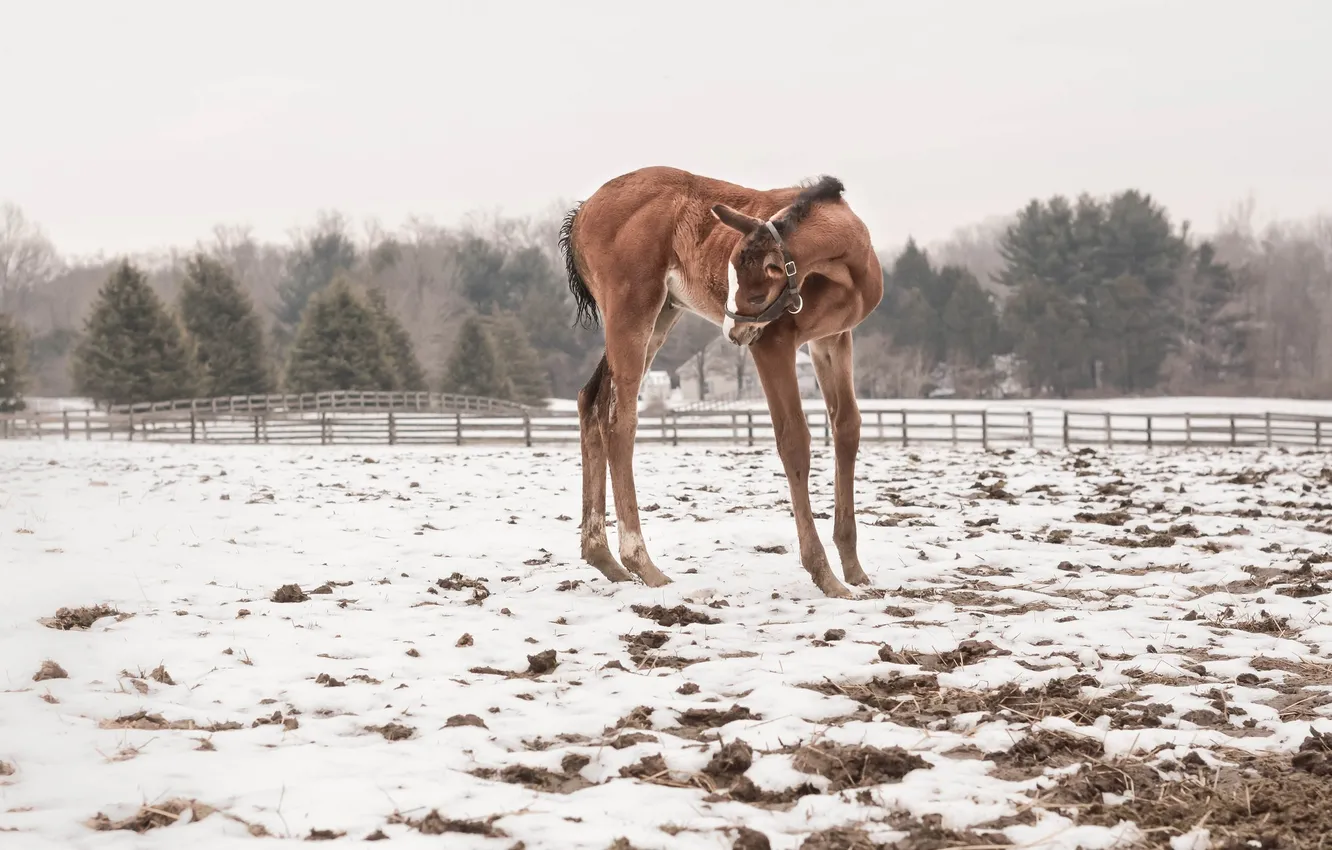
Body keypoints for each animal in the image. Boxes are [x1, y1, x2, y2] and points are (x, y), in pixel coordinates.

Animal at [559, 166, 884, 599]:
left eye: (758, 290)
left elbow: (846, 428)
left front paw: (854, 570)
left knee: (592, 402)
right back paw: (643, 564)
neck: (845, 271)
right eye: (732, 277)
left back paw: (604, 559)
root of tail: (581, 215)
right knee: (619, 422)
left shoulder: (832, 339)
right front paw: (825, 575)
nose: (734, 332)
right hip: (633, 313)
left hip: (663, 314)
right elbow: (793, 440)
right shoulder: (774, 344)